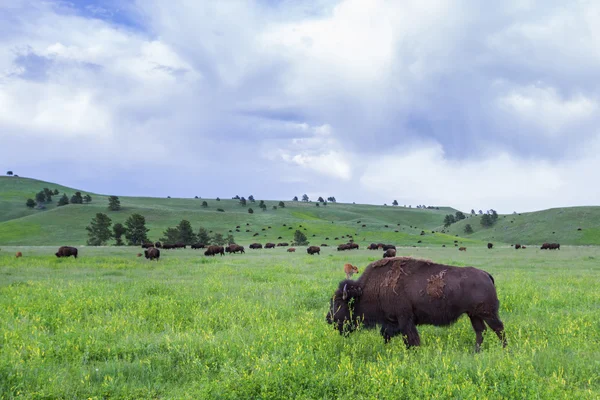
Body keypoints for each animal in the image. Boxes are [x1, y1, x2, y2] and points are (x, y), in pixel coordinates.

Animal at [328, 256, 506, 354]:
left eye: (338, 303)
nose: (328, 319)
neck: (367, 290)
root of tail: (486, 274)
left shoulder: (404, 319)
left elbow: (411, 339)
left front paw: (414, 353)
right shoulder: (392, 322)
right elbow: (388, 336)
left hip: (488, 313)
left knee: (499, 329)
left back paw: (505, 350)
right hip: (474, 314)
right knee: (480, 331)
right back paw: (476, 352)